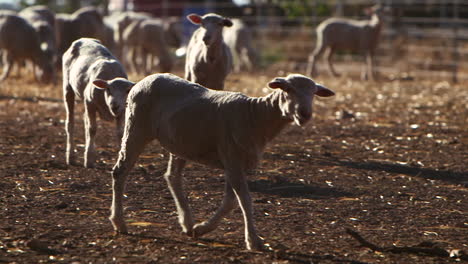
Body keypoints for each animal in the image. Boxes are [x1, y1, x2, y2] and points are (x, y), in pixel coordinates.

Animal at [61, 37, 133, 167]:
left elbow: (120, 133)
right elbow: (92, 129)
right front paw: (89, 159)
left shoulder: (122, 110)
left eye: (127, 90)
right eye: (108, 89)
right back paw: (71, 157)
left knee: (85, 121)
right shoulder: (90, 102)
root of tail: (83, 39)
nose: (114, 105)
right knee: (70, 123)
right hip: (67, 86)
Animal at [104, 72, 334, 250]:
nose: (305, 114)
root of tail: (141, 81)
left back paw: (187, 223)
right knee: (120, 171)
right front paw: (253, 241)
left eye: (313, 93)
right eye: (288, 90)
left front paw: (201, 229)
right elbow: (244, 200)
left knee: (172, 176)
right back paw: (119, 223)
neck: (255, 116)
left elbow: (230, 201)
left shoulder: (237, 163)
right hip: (136, 128)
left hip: (180, 142)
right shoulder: (232, 158)